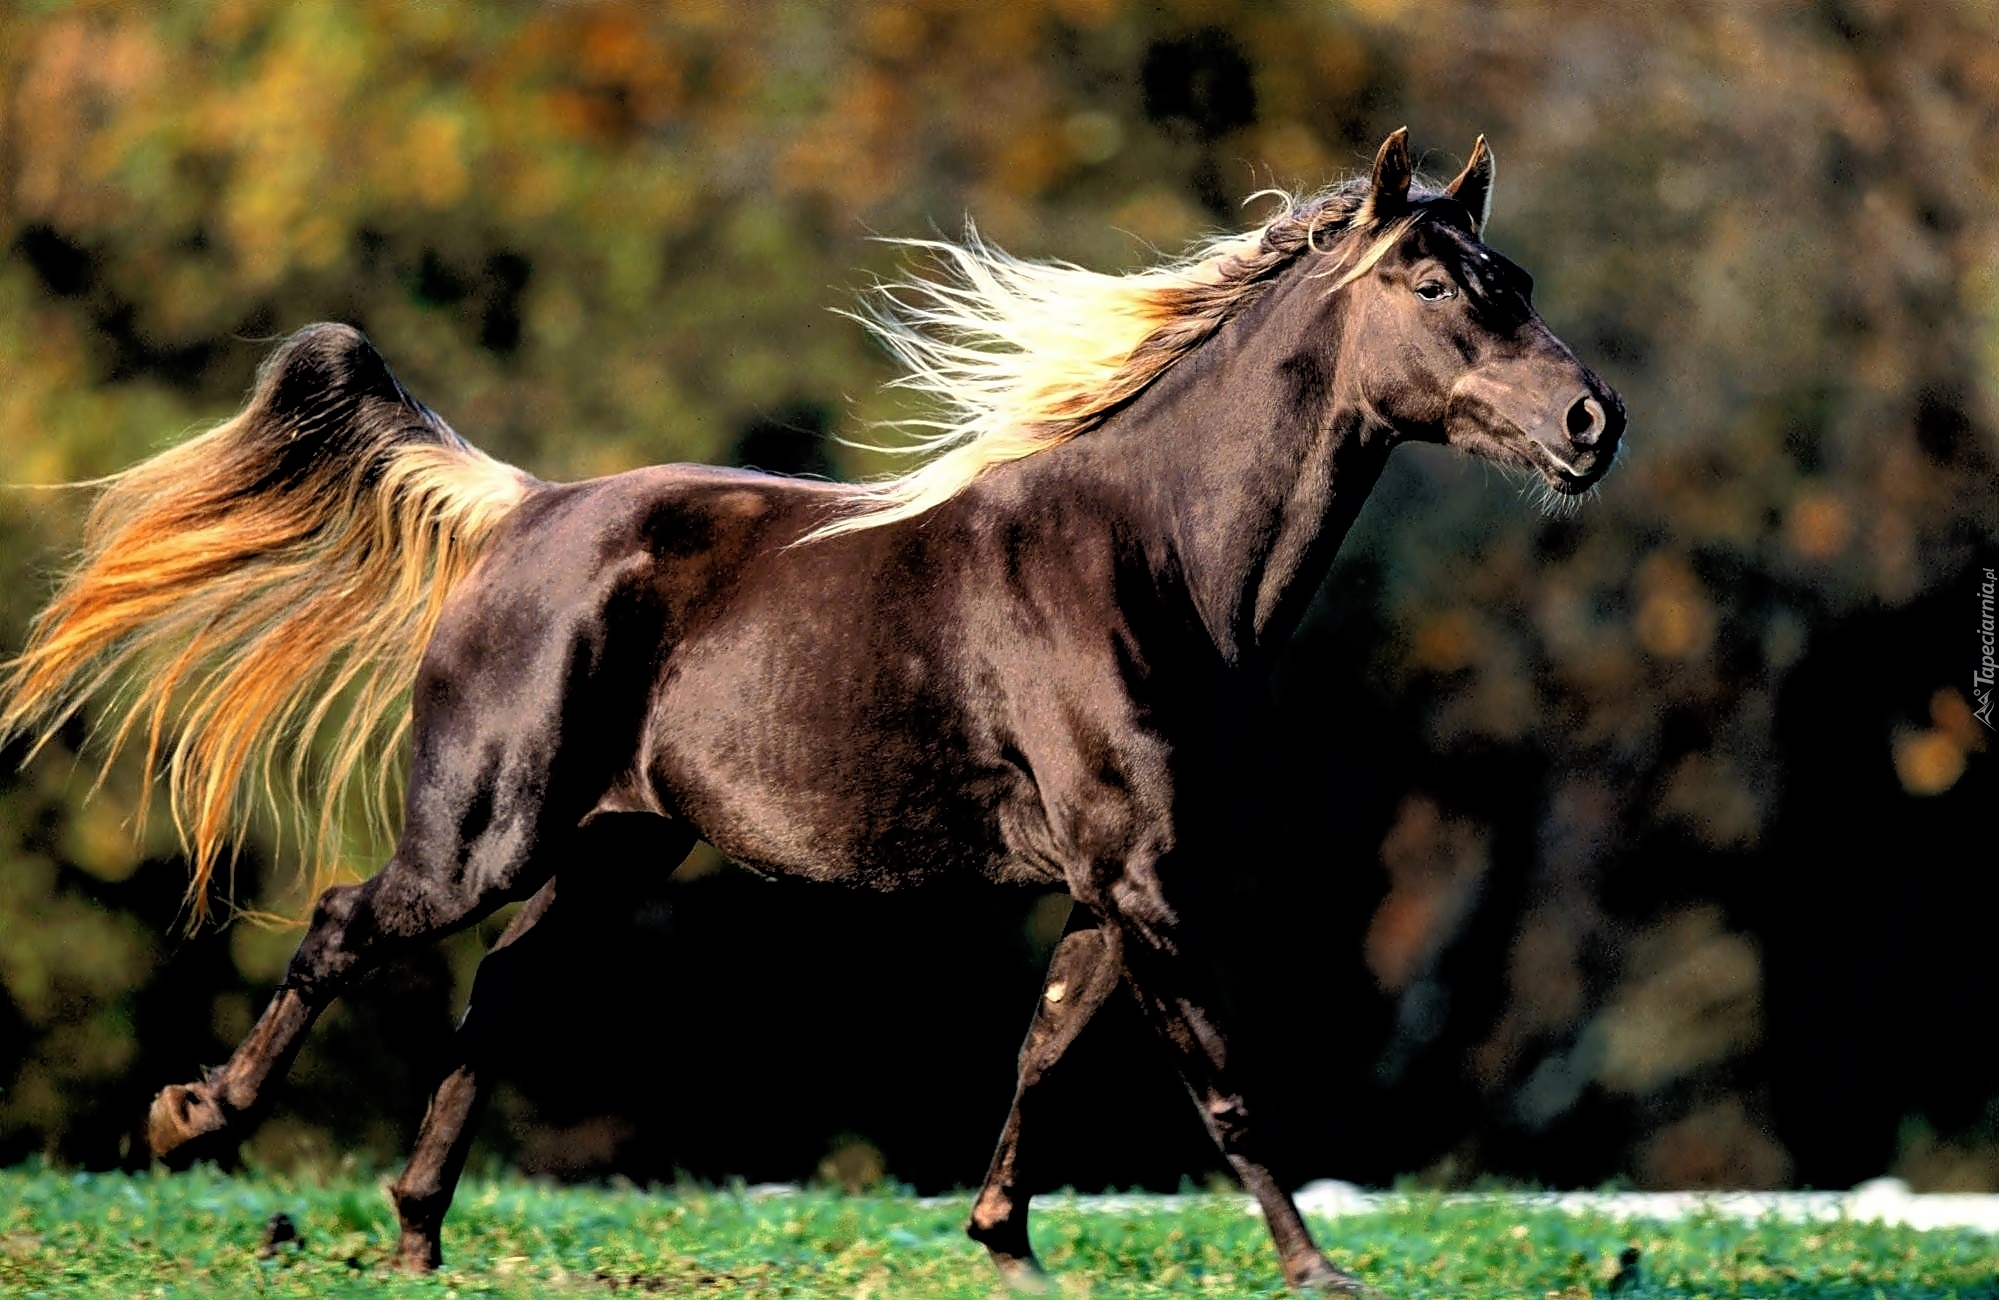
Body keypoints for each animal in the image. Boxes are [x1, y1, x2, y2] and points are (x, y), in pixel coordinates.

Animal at [0, 130, 1622, 1293]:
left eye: (1524, 281)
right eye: (1435, 287)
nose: (1590, 424)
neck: (1152, 561)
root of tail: (523, 513)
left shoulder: (1121, 883)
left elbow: (1046, 1045)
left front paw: (1004, 1244)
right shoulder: (1144, 879)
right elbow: (1219, 1082)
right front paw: (1314, 1270)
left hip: (609, 849)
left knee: (499, 994)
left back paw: (413, 1232)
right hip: (483, 834)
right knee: (349, 924)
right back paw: (200, 1121)